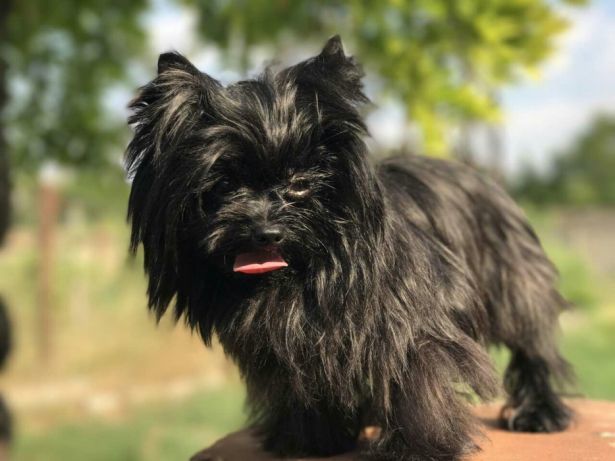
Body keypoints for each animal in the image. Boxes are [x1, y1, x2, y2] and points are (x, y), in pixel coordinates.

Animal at [126, 35, 573, 460]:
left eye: (299, 182)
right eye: (223, 184)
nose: (265, 230)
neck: (307, 274)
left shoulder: (412, 327)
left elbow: (416, 380)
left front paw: (419, 447)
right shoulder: (295, 346)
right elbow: (303, 384)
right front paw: (310, 439)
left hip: (515, 284)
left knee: (533, 346)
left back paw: (539, 412)